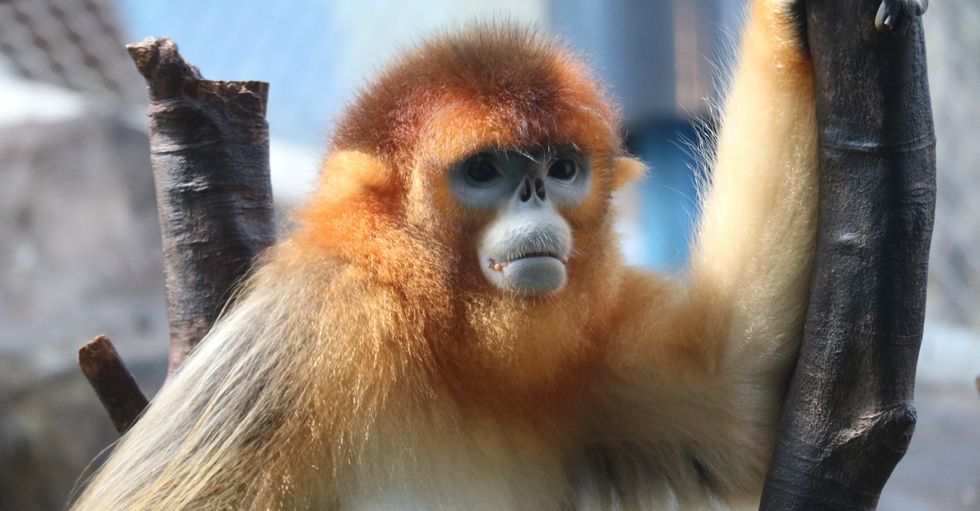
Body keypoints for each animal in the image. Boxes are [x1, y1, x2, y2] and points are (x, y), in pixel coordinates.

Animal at [69, 0, 926, 509]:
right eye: (485, 171)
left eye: (561, 167)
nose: (535, 197)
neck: (438, 338)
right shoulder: (310, 327)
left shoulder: (587, 358)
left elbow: (744, 384)